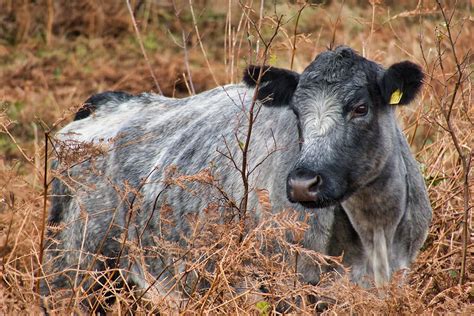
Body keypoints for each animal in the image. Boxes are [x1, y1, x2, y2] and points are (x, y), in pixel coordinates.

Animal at [41, 46, 434, 308]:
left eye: (360, 108)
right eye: (296, 112)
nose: (302, 183)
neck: (375, 230)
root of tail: (107, 104)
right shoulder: (290, 288)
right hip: (73, 268)